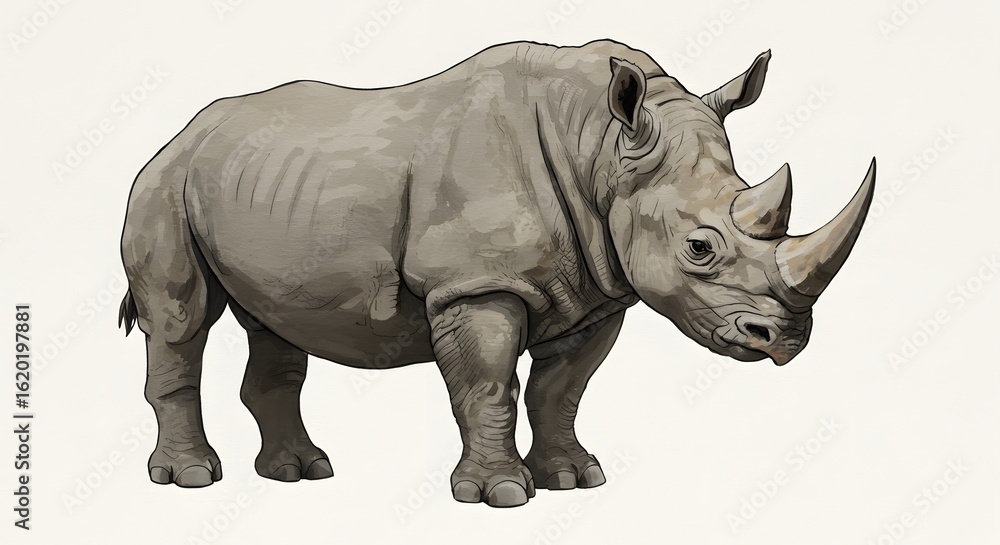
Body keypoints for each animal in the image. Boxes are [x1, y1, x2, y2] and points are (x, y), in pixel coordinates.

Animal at [119, 39, 875, 508]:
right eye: (700, 248)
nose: (786, 338)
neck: (601, 147)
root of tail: (181, 132)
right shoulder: (475, 284)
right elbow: (487, 387)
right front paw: (501, 495)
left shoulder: (596, 290)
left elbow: (560, 390)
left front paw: (573, 478)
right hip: (162, 183)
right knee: (181, 319)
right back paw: (192, 478)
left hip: (258, 187)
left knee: (275, 322)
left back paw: (300, 474)